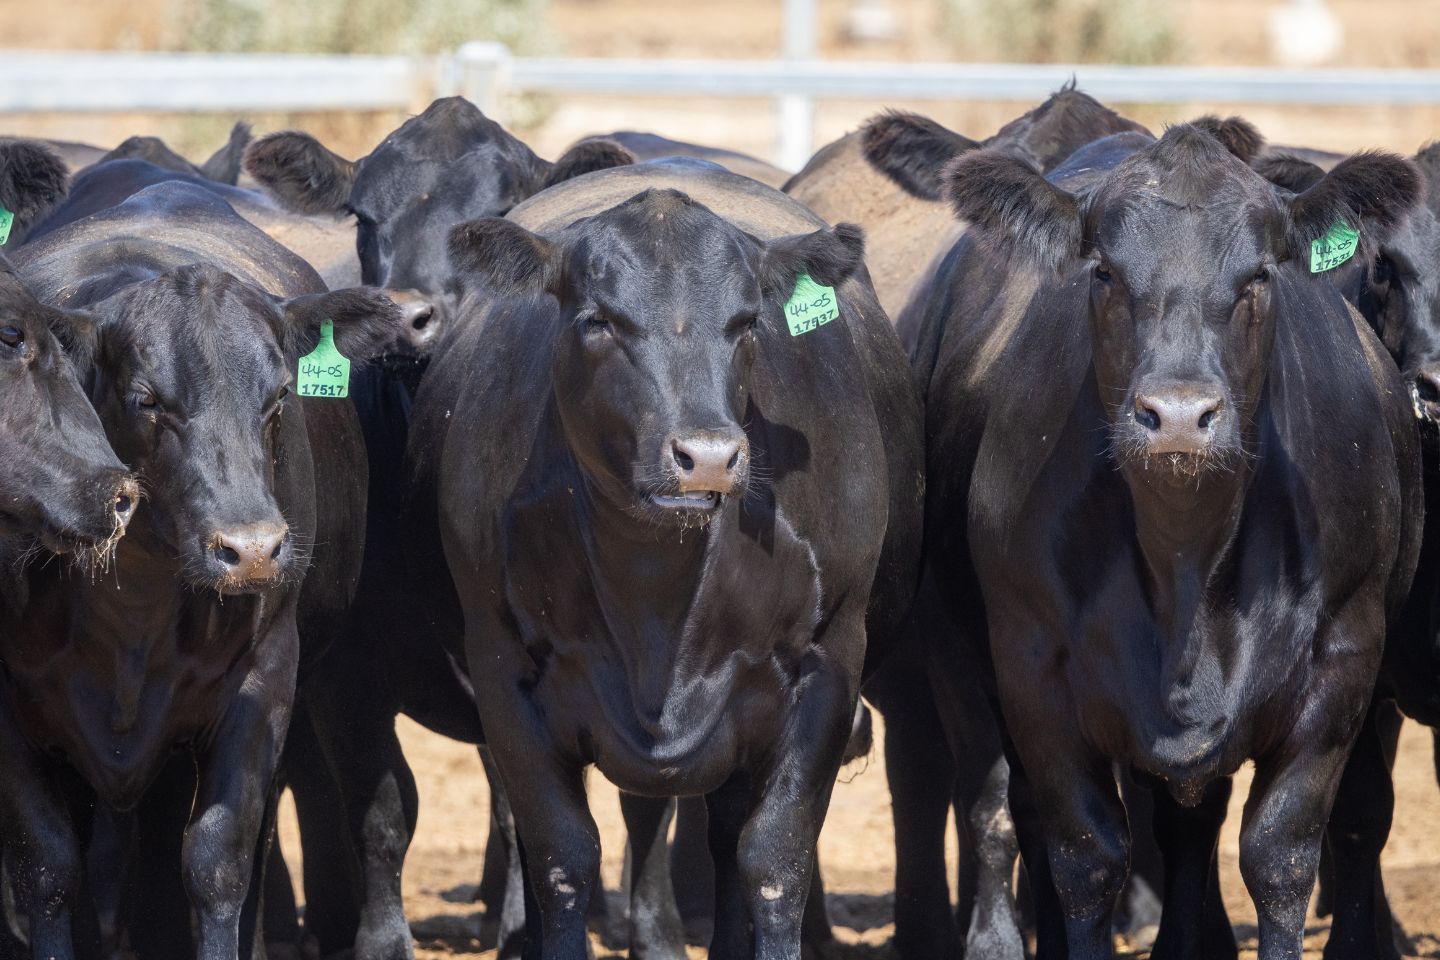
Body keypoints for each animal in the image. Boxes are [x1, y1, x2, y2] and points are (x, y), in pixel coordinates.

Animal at [3, 179, 417, 960]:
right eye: (148, 401)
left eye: (279, 396)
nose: (251, 548)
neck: (133, 603)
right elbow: (47, 869)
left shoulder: (264, 680)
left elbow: (218, 863)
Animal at [399, 155, 922, 960]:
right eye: (599, 320)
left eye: (747, 323)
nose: (706, 455)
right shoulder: (503, 672)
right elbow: (561, 859)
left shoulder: (830, 664)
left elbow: (775, 861)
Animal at [906, 121, 1422, 960]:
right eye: (1106, 273)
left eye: (1259, 277)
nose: (1178, 416)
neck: (1185, 564)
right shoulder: (1034, 669)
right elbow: (1086, 857)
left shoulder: (1343, 663)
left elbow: (1281, 855)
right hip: (954, 649)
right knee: (994, 809)